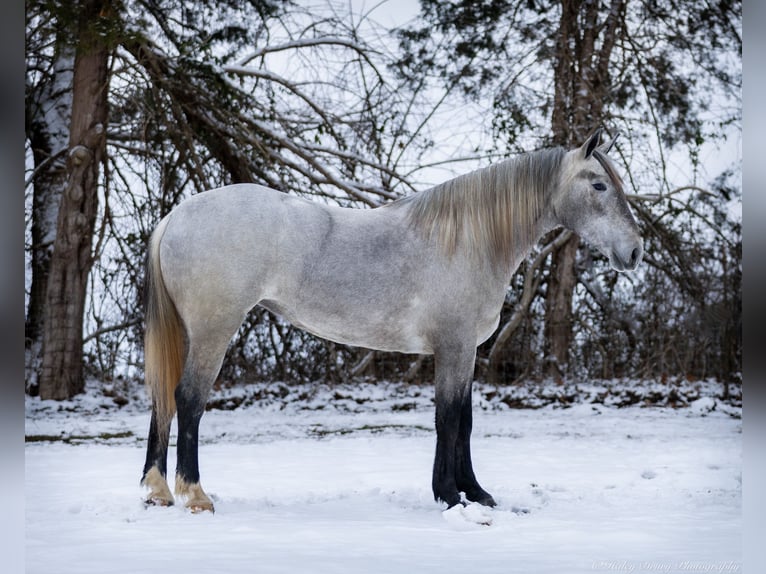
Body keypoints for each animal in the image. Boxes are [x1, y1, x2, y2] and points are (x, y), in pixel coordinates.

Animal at [141, 129, 644, 512]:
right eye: (599, 185)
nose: (635, 252)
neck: (469, 241)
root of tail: (175, 217)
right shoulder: (454, 346)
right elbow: (449, 419)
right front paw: (451, 495)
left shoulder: (466, 352)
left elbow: (464, 418)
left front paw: (474, 492)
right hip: (214, 330)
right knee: (188, 400)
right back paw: (195, 495)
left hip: (188, 333)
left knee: (163, 399)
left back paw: (158, 491)